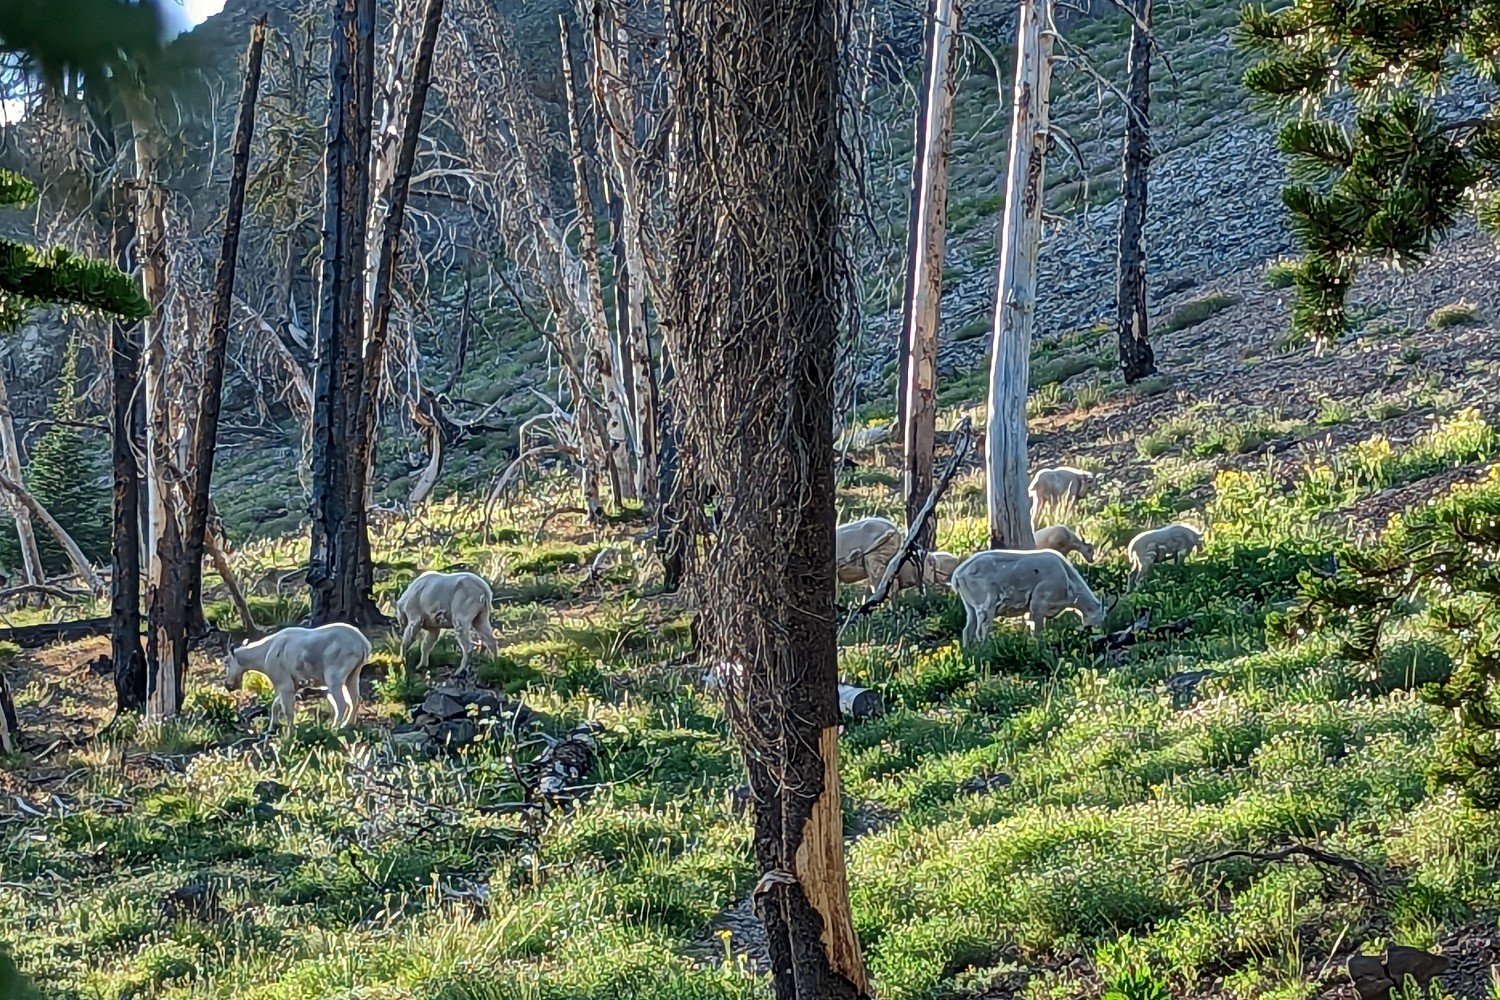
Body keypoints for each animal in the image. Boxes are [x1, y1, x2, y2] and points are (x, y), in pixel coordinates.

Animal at [225, 620, 372, 731]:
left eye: (226, 662)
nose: (228, 685)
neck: (265, 654)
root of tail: (362, 643)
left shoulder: (284, 684)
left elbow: (288, 711)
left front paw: (289, 734)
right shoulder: (289, 685)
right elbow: (275, 704)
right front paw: (272, 727)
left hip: (334, 678)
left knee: (342, 704)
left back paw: (334, 727)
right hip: (353, 675)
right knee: (355, 699)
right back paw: (348, 724)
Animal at [954, 548, 1110, 650]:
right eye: (1102, 617)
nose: (1097, 634)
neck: (1068, 580)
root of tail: (958, 574)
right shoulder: (1039, 604)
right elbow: (1038, 631)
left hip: (970, 607)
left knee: (968, 630)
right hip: (985, 605)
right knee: (982, 630)